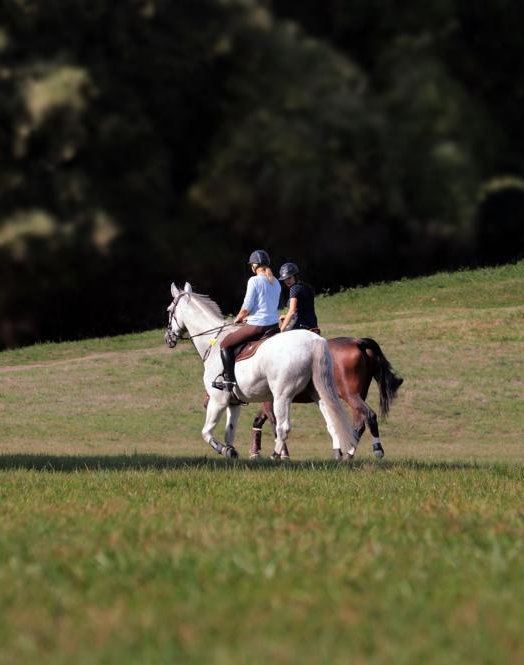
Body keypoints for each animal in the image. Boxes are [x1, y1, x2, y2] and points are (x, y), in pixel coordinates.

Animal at [165, 282, 357, 459]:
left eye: (169, 310)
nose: (168, 339)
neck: (213, 341)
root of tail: (314, 340)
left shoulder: (217, 400)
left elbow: (206, 432)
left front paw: (223, 450)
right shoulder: (234, 403)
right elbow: (229, 432)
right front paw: (231, 450)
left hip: (281, 396)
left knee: (282, 427)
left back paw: (275, 456)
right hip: (318, 393)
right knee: (332, 420)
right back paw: (338, 455)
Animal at [250, 337, 403, 460]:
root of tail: (358, 342)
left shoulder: (272, 401)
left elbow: (274, 425)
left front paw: (281, 454)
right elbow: (259, 421)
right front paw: (255, 452)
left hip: (351, 395)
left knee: (369, 415)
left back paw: (372, 449)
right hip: (358, 395)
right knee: (359, 423)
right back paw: (348, 453)